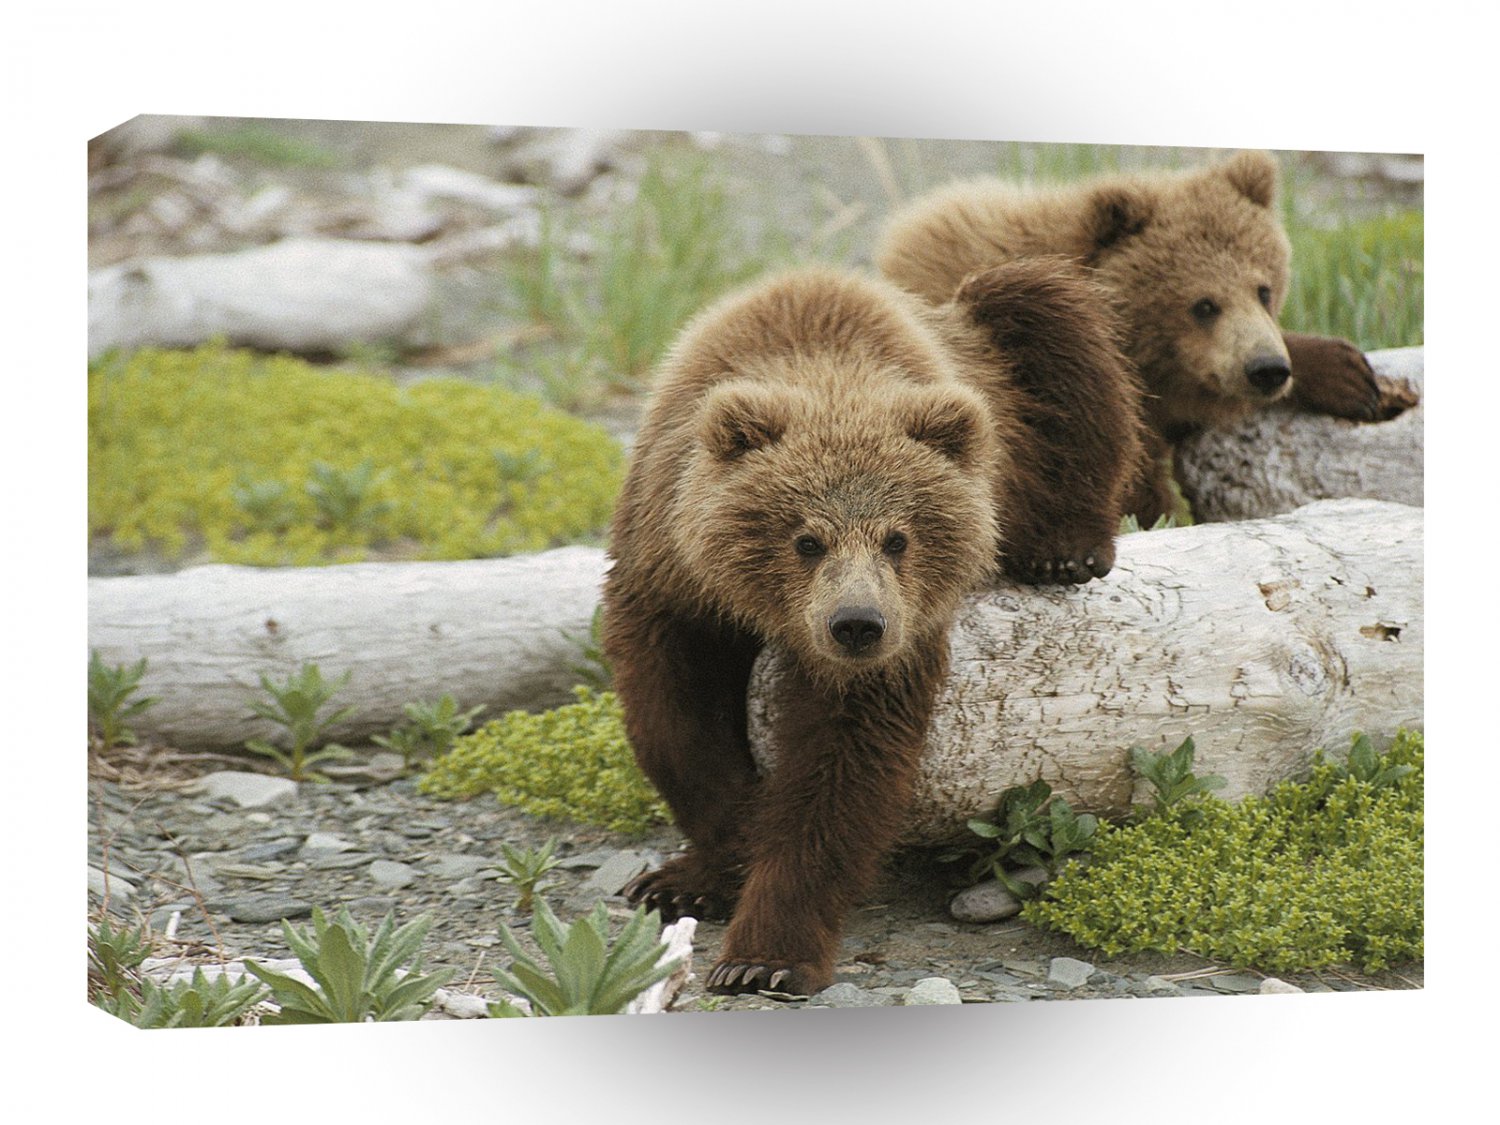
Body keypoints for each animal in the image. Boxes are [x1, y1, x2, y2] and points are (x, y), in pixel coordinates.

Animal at [601, 260, 1145, 995]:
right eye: (806, 540)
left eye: (898, 538)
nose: (856, 624)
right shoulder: (668, 569)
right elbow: (676, 720)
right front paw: (699, 869)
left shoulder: (894, 643)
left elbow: (843, 764)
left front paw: (764, 954)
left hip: (999, 371)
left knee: (1051, 324)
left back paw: (1063, 548)